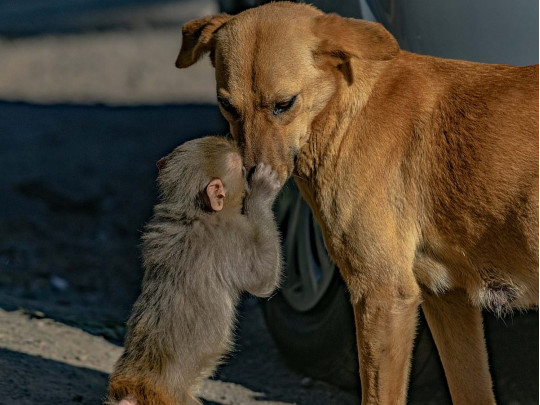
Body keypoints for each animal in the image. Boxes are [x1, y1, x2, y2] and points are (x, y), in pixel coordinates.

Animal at [106, 137, 282, 404]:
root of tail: (135, 386)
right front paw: (262, 193)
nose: (249, 173)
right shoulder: (231, 235)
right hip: (178, 399)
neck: (192, 212)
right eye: (242, 171)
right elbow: (263, 279)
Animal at [176, 3, 536, 404]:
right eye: (226, 105)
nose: (251, 183)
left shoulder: (383, 295)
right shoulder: (447, 297)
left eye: (284, 104)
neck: (345, 111)